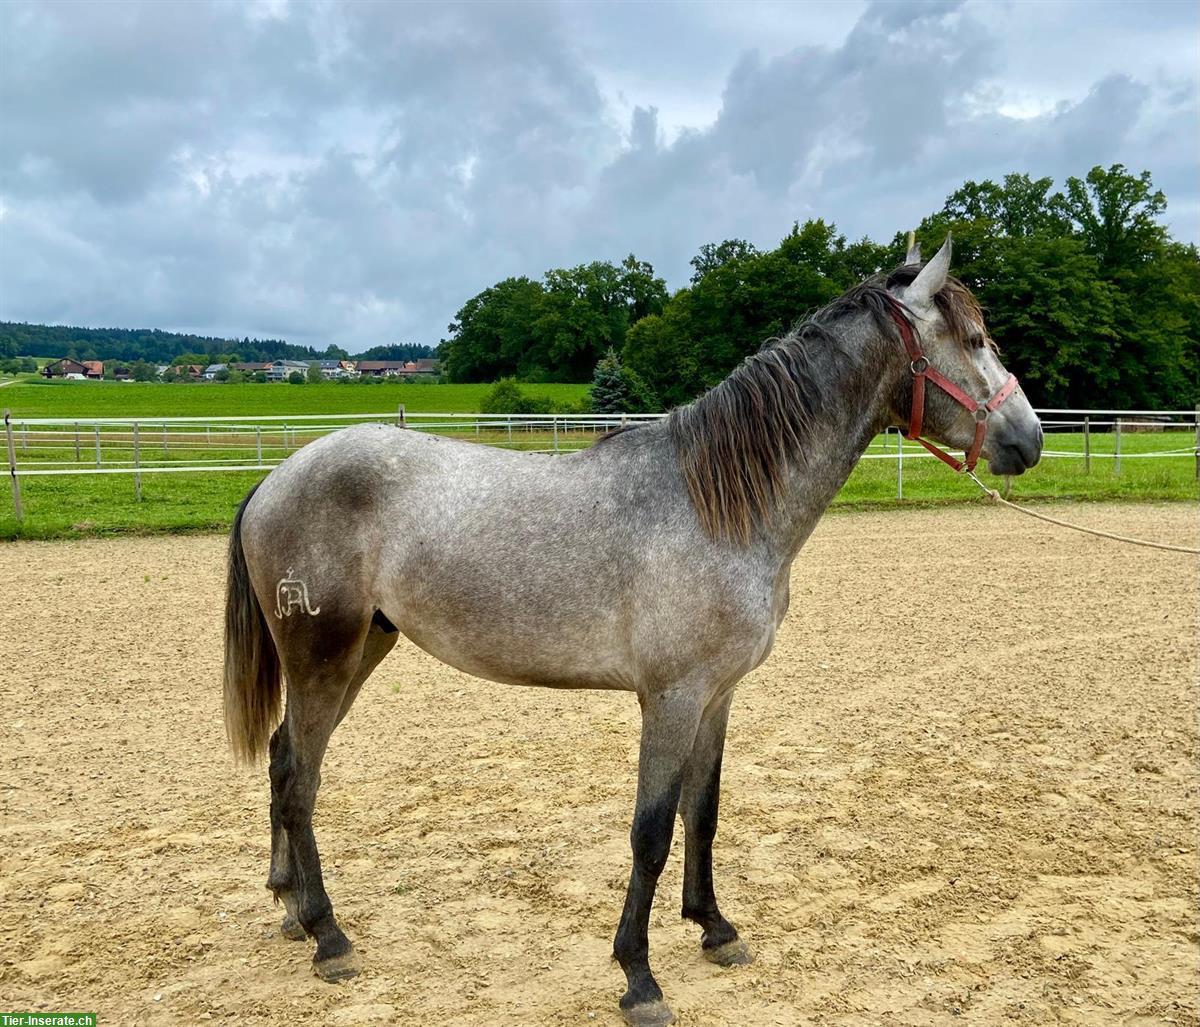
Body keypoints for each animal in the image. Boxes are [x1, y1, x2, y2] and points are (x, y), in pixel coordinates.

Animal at [223, 238, 1041, 1027]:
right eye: (975, 340)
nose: (1028, 440)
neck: (717, 505)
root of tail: (274, 480)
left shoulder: (717, 695)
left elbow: (702, 814)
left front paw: (715, 928)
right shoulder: (670, 699)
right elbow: (650, 833)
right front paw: (639, 978)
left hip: (363, 648)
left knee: (284, 760)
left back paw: (291, 907)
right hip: (324, 657)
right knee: (298, 780)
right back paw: (328, 935)